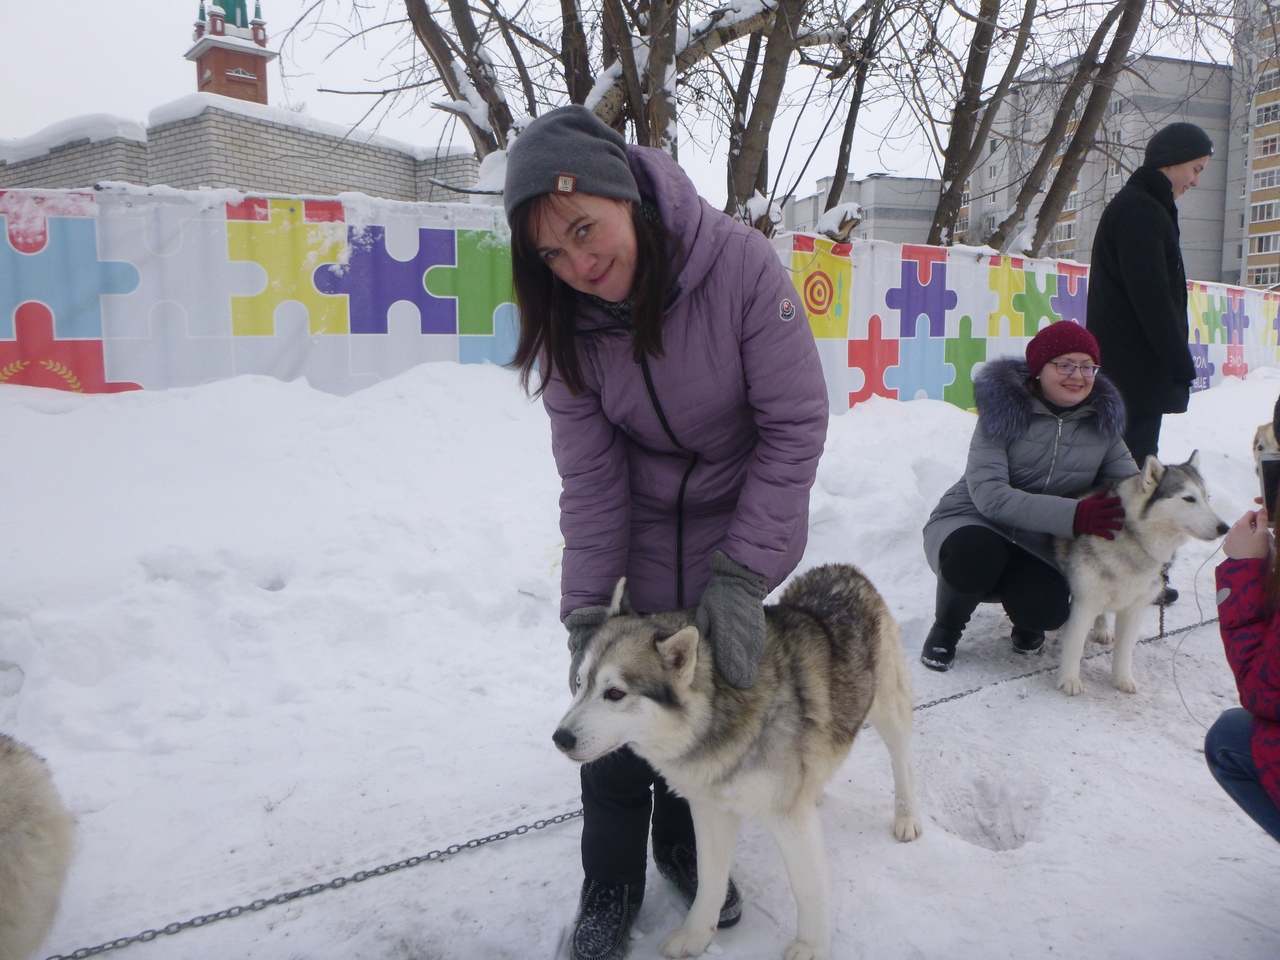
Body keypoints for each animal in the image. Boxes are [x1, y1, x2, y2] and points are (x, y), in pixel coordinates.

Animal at [550, 563, 921, 960]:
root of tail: (843, 569)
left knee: (902, 762)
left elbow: (807, 889)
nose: (560, 738)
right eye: (578, 683)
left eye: (615, 693)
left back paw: (906, 817)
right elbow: (709, 880)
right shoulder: (709, 808)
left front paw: (810, 946)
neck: (717, 715)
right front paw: (696, 934)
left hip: (889, 711)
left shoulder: (790, 819)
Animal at [1049, 455, 1228, 696]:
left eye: (1207, 497)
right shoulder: (1085, 601)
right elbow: (1075, 644)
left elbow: (1124, 650)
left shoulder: (1134, 608)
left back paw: (1102, 628)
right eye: (1188, 498)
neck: (1136, 540)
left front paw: (1122, 679)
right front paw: (1069, 679)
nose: (1224, 527)